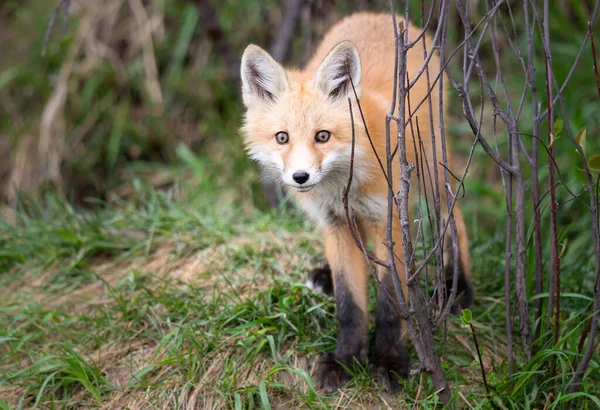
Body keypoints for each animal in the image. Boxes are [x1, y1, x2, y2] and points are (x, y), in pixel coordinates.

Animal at [239, 12, 474, 390]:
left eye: (323, 136)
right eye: (282, 138)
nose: (300, 177)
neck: (342, 187)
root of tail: (380, 17)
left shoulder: (388, 223)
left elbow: (391, 304)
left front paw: (389, 361)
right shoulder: (333, 223)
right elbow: (350, 305)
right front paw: (345, 359)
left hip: (433, 170)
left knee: (455, 221)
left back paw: (460, 287)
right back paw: (324, 277)